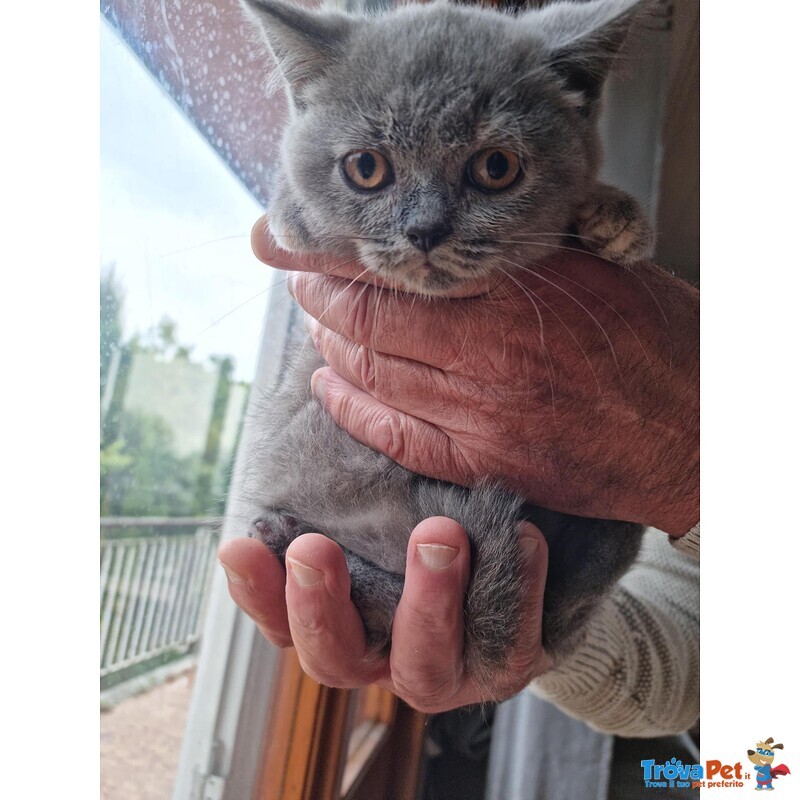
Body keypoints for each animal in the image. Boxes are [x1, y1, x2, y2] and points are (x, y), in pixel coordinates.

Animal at [238, 0, 648, 688]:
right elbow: (294, 210)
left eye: (495, 167)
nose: (425, 229)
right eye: (366, 168)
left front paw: (614, 217)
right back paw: (284, 534)